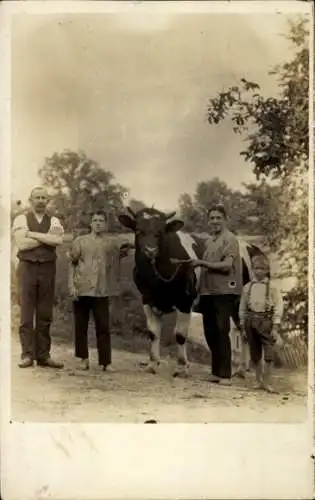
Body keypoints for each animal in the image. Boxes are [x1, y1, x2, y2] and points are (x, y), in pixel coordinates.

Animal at [118, 205, 266, 376]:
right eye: (138, 230)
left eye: (160, 231)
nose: (150, 250)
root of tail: (250, 246)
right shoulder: (147, 300)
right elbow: (153, 333)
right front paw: (152, 364)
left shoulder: (184, 301)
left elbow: (180, 335)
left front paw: (182, 367)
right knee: (242, 331)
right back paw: (243, 369)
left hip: (243, 302)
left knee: (245, 332)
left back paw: (247, 369)